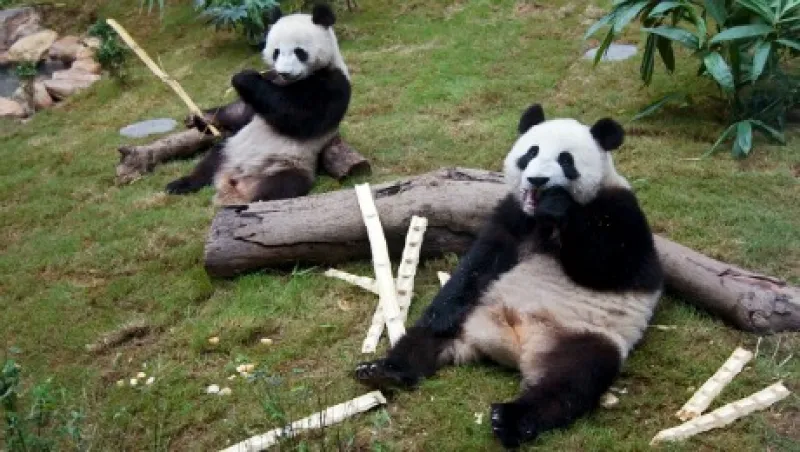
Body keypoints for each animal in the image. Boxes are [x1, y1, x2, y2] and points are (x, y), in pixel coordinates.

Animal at [165, 3, 351, 205]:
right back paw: (180, 184)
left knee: (282, 186)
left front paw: (244, 77)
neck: (290, 82)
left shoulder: (333, 83)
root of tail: (234, 180)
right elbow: (240, 114)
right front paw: (200, 118)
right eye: (276, 51)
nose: (285, 72)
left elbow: (299, 116)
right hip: (231, 148)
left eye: (299, 51)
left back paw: (254, 200)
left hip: (289, 164)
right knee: (210, 162)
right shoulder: (271, 78)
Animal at [354, 104, 664, 448]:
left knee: (572, 381)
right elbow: (483, 258)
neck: (541, 218)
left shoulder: (621, 212)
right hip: (476, 309)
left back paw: (511, 420)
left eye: (566, 160)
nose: (538, 180)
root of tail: (513, 348)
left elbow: (605, 267)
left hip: (586, 336)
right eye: (531, 152)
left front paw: (558, 204)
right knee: (426, 336)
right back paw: (384, 370)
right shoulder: (514, 213)